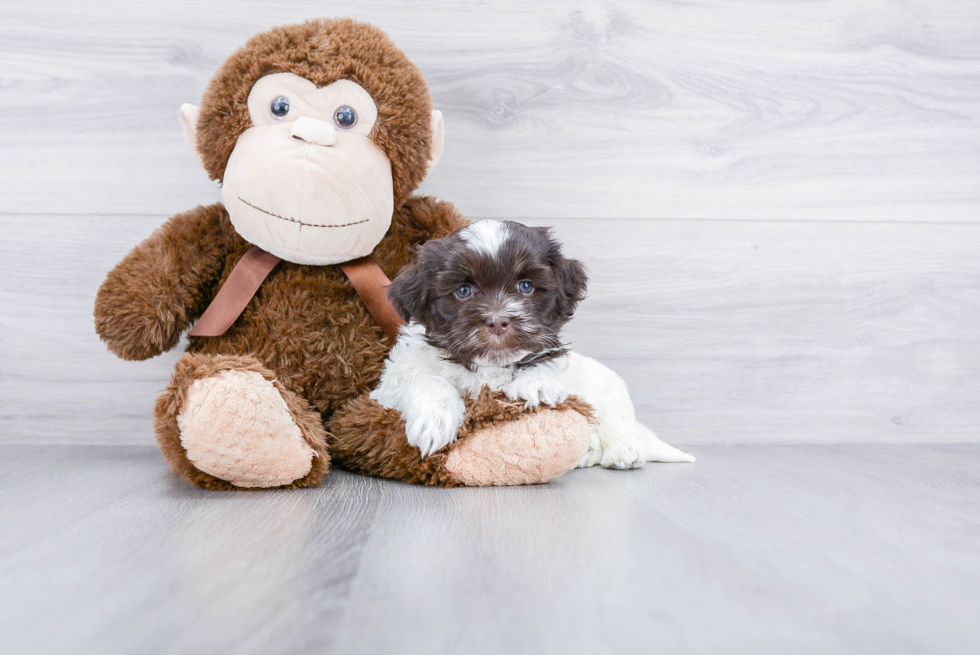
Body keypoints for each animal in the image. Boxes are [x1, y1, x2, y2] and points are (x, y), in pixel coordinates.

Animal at [370, 223, 696, 468]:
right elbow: (427, 379)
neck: (490, 368)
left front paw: (536, 384)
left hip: (610, 393)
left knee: (620, 426)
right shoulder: (389, 386)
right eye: (463, 290)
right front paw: (434, 421)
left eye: (525, 286)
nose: (498, 321)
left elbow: (546, 365)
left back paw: (625, 451)